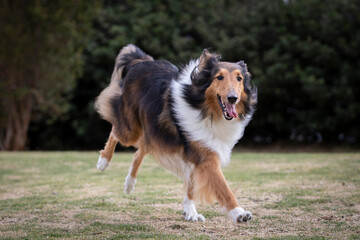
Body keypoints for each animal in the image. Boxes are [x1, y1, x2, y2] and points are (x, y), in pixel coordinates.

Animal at [94, 45, 258, 223]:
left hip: (154, 132)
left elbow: (192, 184)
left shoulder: (199, 152)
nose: (232, 98)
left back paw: (129, 184)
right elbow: (223, 187)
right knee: (115, 131)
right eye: (219, 77)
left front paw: (190, 211)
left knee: (140, 150)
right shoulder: (206, 156)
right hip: (131, 130)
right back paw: (103, 162)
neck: (205, 110)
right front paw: (239, 212)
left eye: (239, 78)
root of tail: (142, 61)